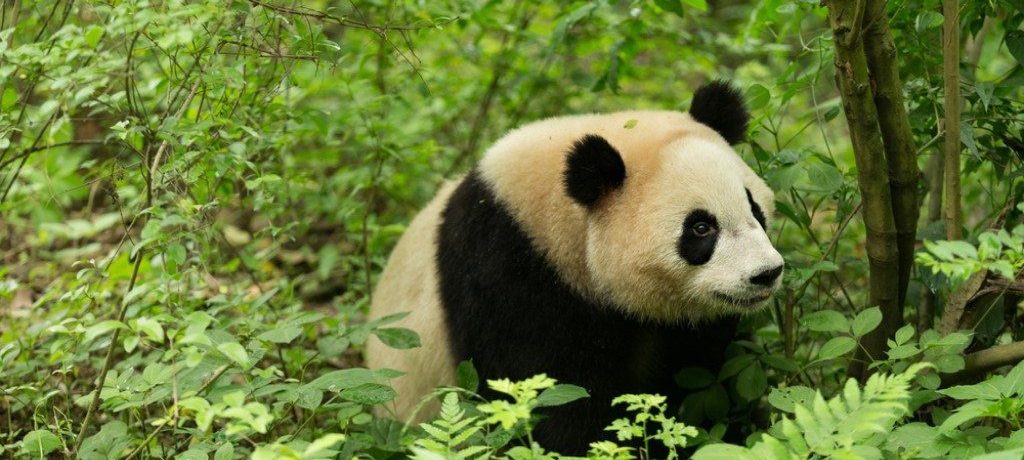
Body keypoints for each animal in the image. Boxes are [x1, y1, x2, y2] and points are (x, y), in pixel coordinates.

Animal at [365, 80, 784, 454]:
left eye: (755, 210)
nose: (766, 273)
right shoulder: (506, 270)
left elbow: (702, 374)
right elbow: (549, 396)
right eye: (700, 228)